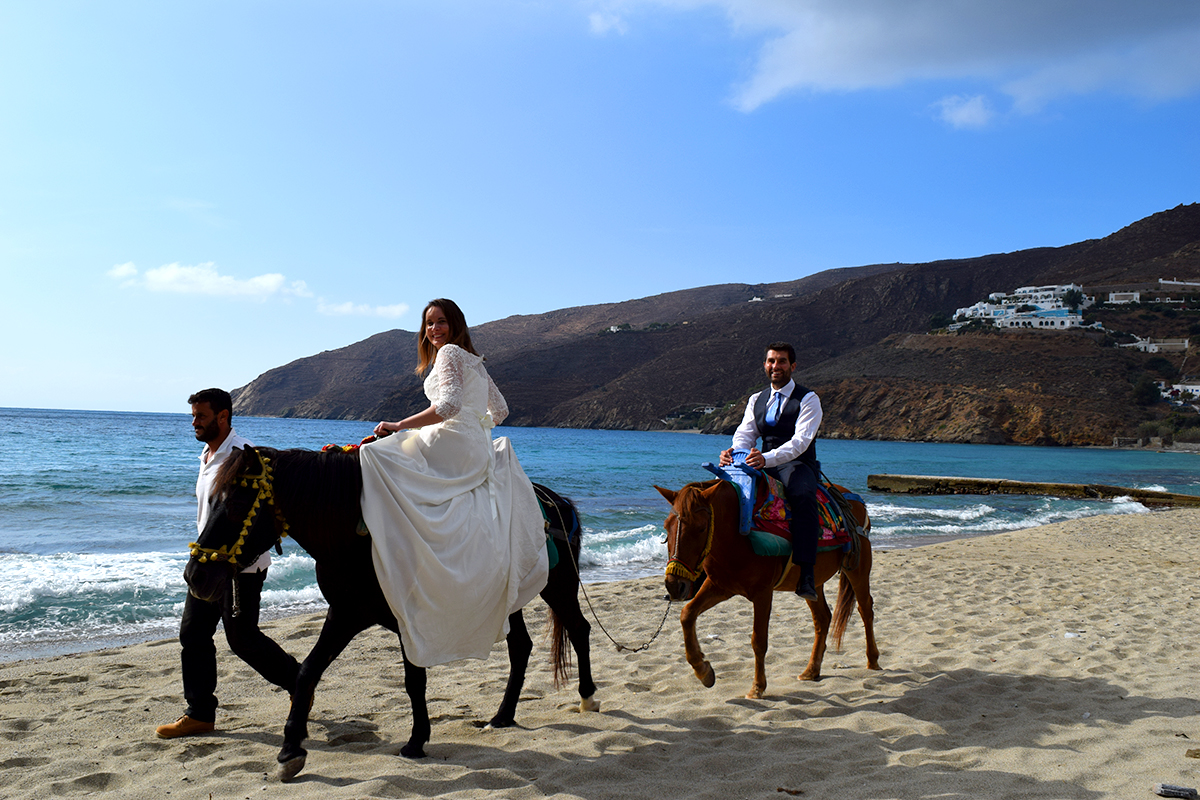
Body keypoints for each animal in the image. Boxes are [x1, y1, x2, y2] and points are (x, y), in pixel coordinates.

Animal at [184, 441, 597, 777]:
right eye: (211, 499)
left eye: (237, 503)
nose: (195, 576)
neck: (357, 536)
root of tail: (556, 501)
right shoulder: (344, 614)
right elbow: (307, 672)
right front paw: (290, 749)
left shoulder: (407, 620)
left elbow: (414, 682)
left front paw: (416, 741)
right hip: (510, 599)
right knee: (521, 647)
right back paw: (503, 715)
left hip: (559, 587)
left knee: (579, 629)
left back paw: (587, 697)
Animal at [657, 479, 883, 695]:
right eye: (666, 527)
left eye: (701, 528)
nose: (674, 586)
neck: (737, 533)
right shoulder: (720, 587)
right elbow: (687, 614)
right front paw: (703, 670)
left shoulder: (762, 594)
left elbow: (759, 640)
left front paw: (757, 687)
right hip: (812, 583)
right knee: (823, 618)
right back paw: (811, 670)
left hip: (858, 569)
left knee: (865, 609)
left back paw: (873, 660)